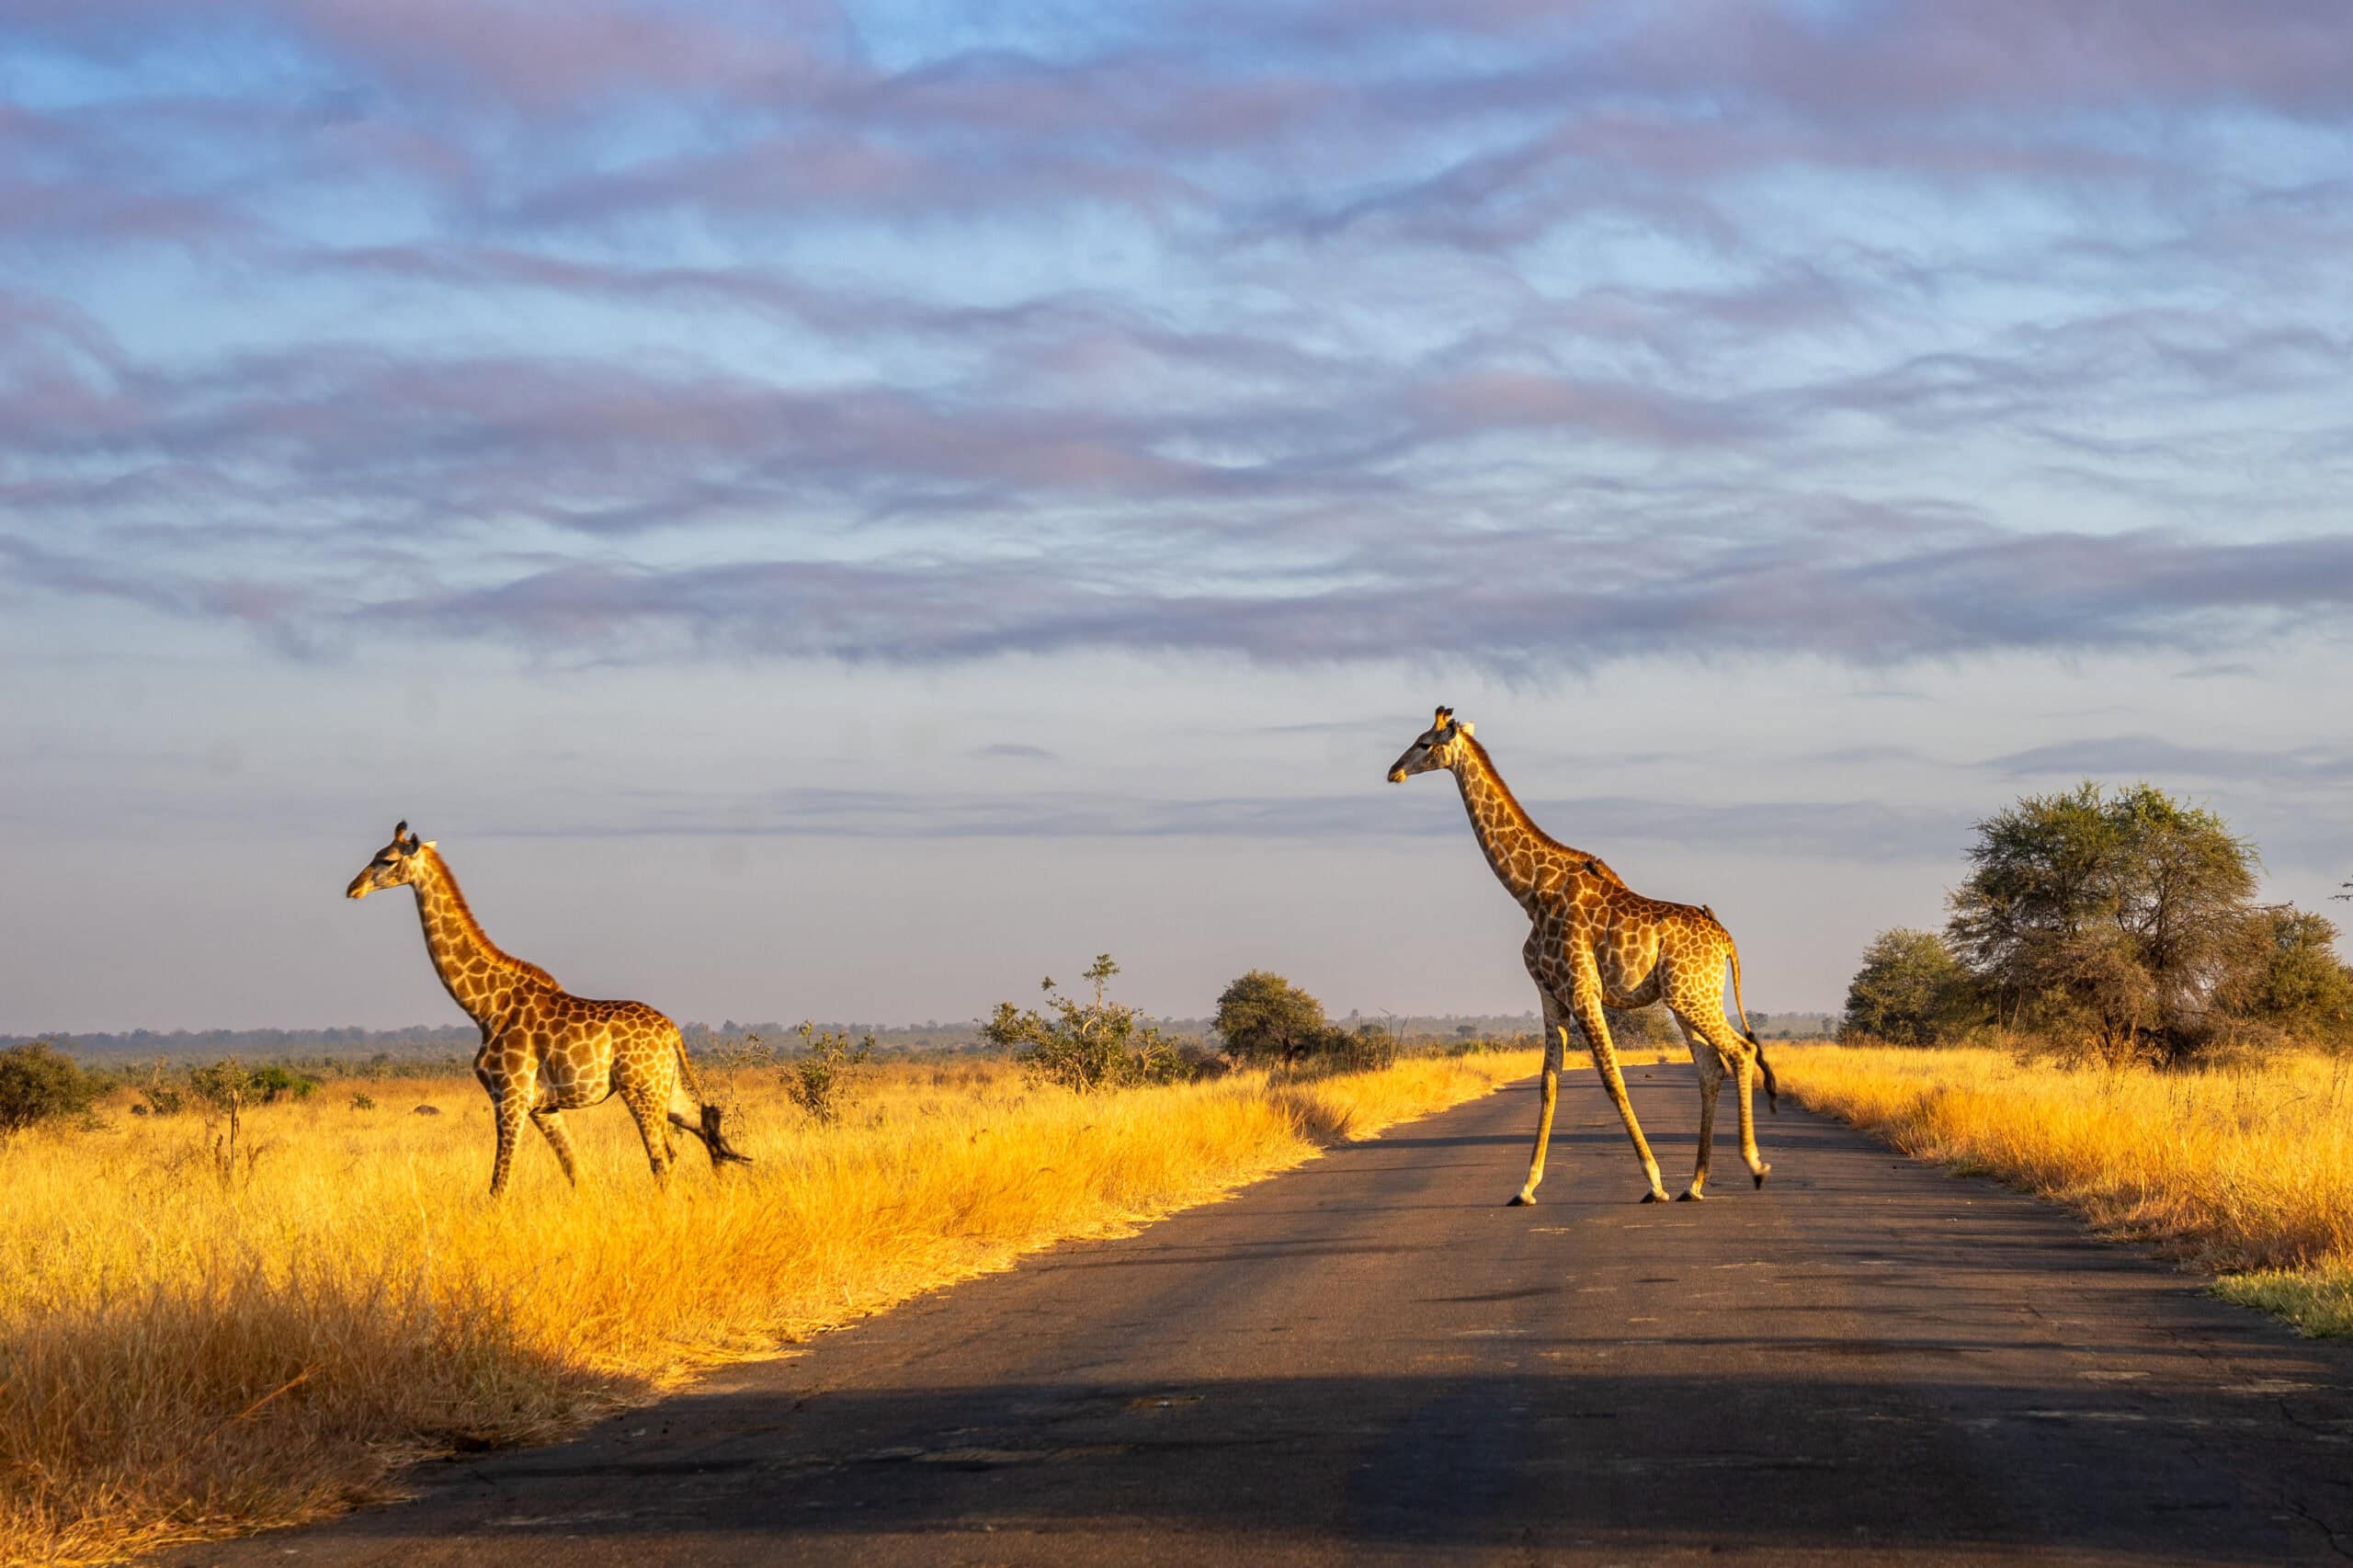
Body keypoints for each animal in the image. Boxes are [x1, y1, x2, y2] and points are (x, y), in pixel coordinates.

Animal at [345, 822, 751, 1197]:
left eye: (387, 859)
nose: (353, 888)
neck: (484, 1006)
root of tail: (672, 1031)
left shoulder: (509, 1097)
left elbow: (498, 1184)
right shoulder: (543, 1107)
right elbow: (576, 1172)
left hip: (641, 1089)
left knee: (662, 1160)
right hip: (667, 1088)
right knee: (706, 1133)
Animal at [1387, 709, 1778, 1206]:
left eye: (1423, 743)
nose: (1393, 771)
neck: (1531, 891)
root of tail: (1725, 938)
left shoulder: (1581, 988)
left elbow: (1612, 1078)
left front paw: (1653, 1181)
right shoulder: (1550, 994)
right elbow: (1548, 1083)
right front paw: (1526, 1187)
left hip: (1692, 997)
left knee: (1742, 1051)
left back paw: (1753, 1167)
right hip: (1689, 999)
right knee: (1712, 1069)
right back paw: (1694, 1184)